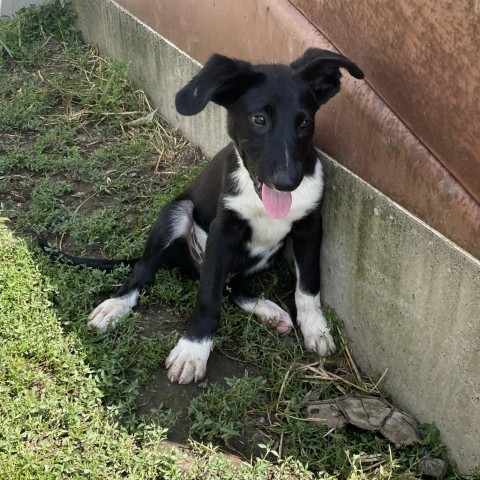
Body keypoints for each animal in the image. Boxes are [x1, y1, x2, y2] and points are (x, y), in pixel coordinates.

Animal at [56, 48, 362, 384]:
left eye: (305, 123)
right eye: (258, 119)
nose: (287, 182)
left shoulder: (309, 226)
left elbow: (308, 285)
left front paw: (315, 328)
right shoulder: (222, 230)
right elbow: (208, 296)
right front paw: (194, 349)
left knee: (234, 288)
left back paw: (268, 311)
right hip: (176, 213)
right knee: (145, 269)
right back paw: (116, 305)